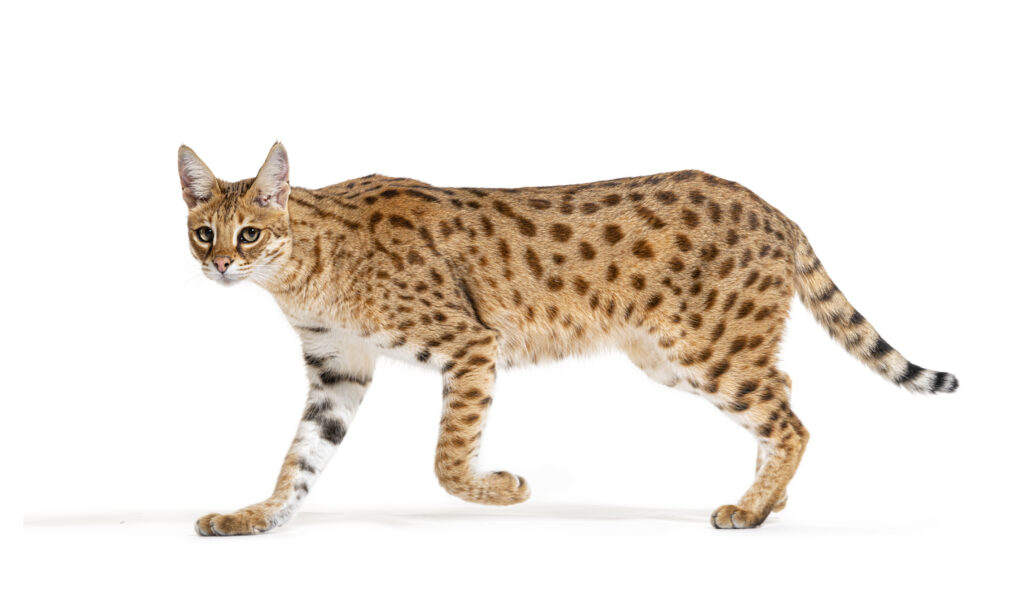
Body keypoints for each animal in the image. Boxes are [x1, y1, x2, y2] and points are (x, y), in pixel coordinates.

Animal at [180, 142, 954, 536]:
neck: (302, 273)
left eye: (250, 233)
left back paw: (753, 505)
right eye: (203, 231)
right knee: (785, 391)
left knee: (792, 420)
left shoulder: (470, 343)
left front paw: (505, 489)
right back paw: (770, 495)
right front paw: (258, 515)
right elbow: (300, 460)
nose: (218, 265)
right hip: (679, 356)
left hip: (707, 349)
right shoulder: (337, 369)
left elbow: (447, 459)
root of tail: (774, 207)